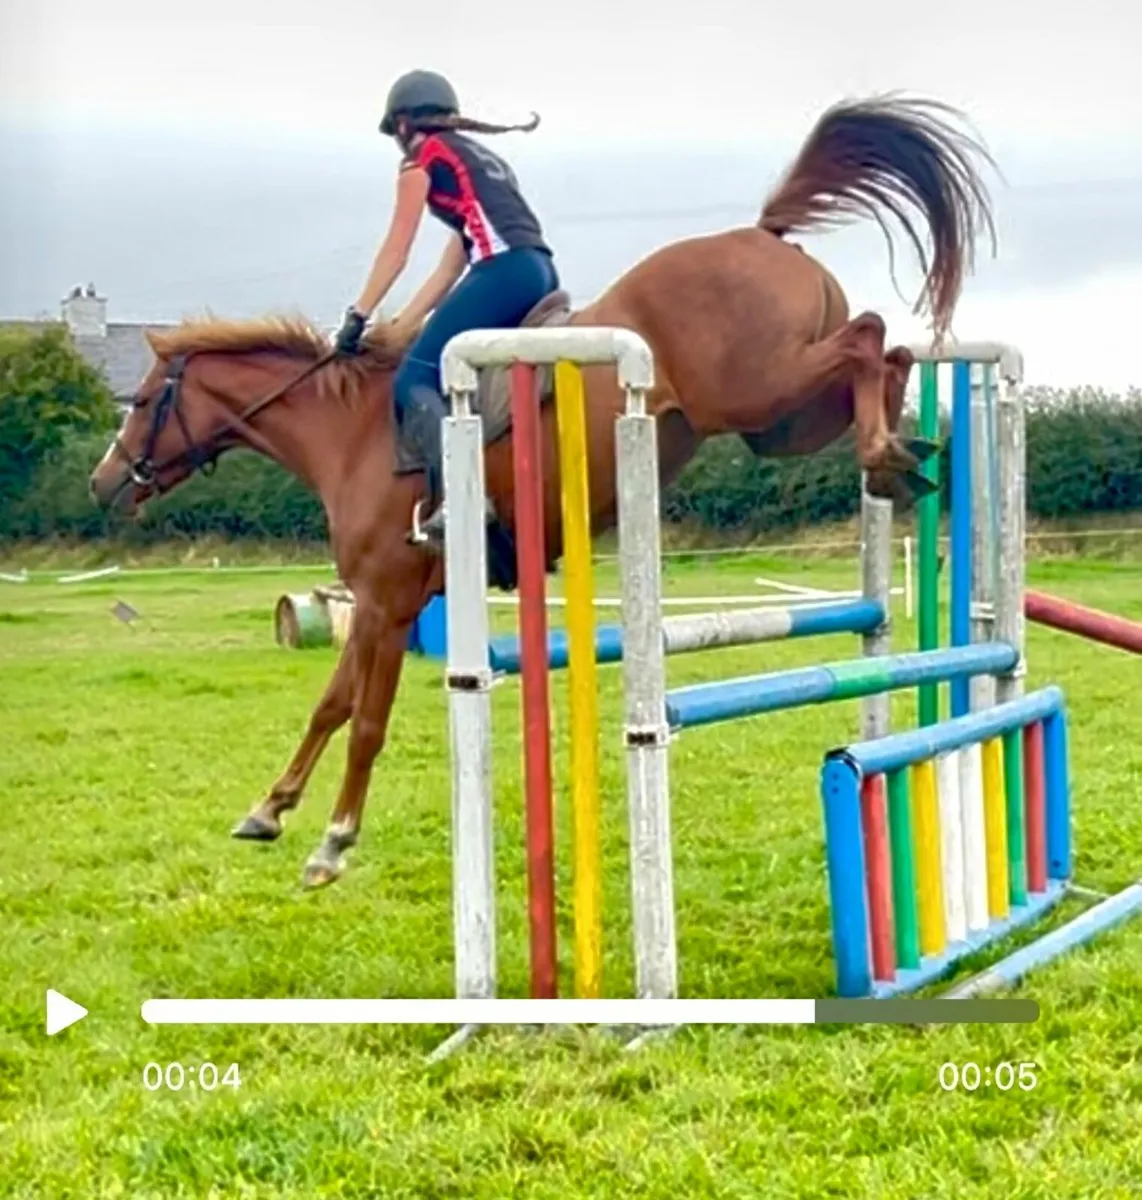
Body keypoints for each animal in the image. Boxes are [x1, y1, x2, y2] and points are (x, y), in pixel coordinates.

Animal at [90, 94, 997, 888]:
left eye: (140, 402)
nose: (104, 483)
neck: (346, 430)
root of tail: (761, 232)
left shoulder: (386, 600)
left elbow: (367, 722)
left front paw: (333, 845)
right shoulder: (375, 601)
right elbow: (330, 706)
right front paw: (269, 810)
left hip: (754, 389)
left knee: (869, 336)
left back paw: (885, 448)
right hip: (782, 422)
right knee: (886, 354)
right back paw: (895, 455)